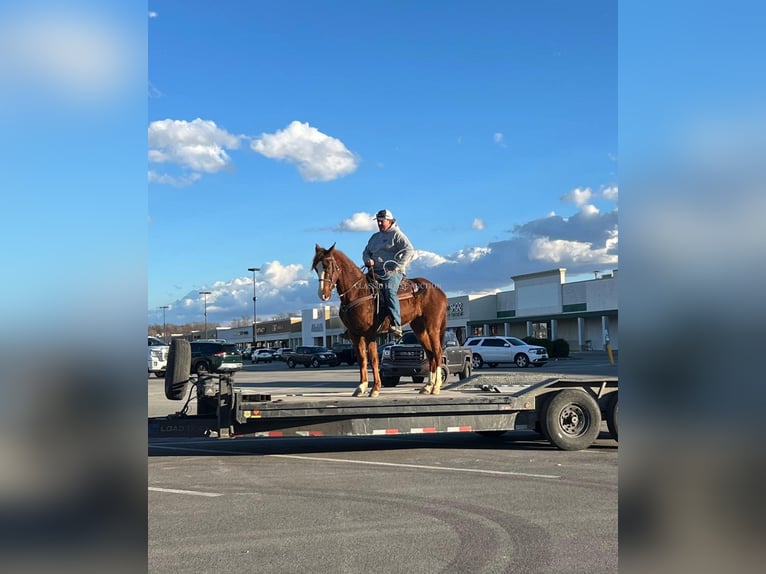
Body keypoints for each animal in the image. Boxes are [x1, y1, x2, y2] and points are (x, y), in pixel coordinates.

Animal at [312, 244, 450, 400]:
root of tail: (440, 292)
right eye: (316, 268)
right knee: (430, 354)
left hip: (433, 327)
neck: (358, 293)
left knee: (437, 352)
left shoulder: (370, 334)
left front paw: (375, 389)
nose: (323, 295)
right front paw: (361, 387)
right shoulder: (355, 334)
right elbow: (362, 359)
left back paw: (436, 387)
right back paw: (427, 387)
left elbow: (373, 359)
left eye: (328, 266)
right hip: (419, 329)